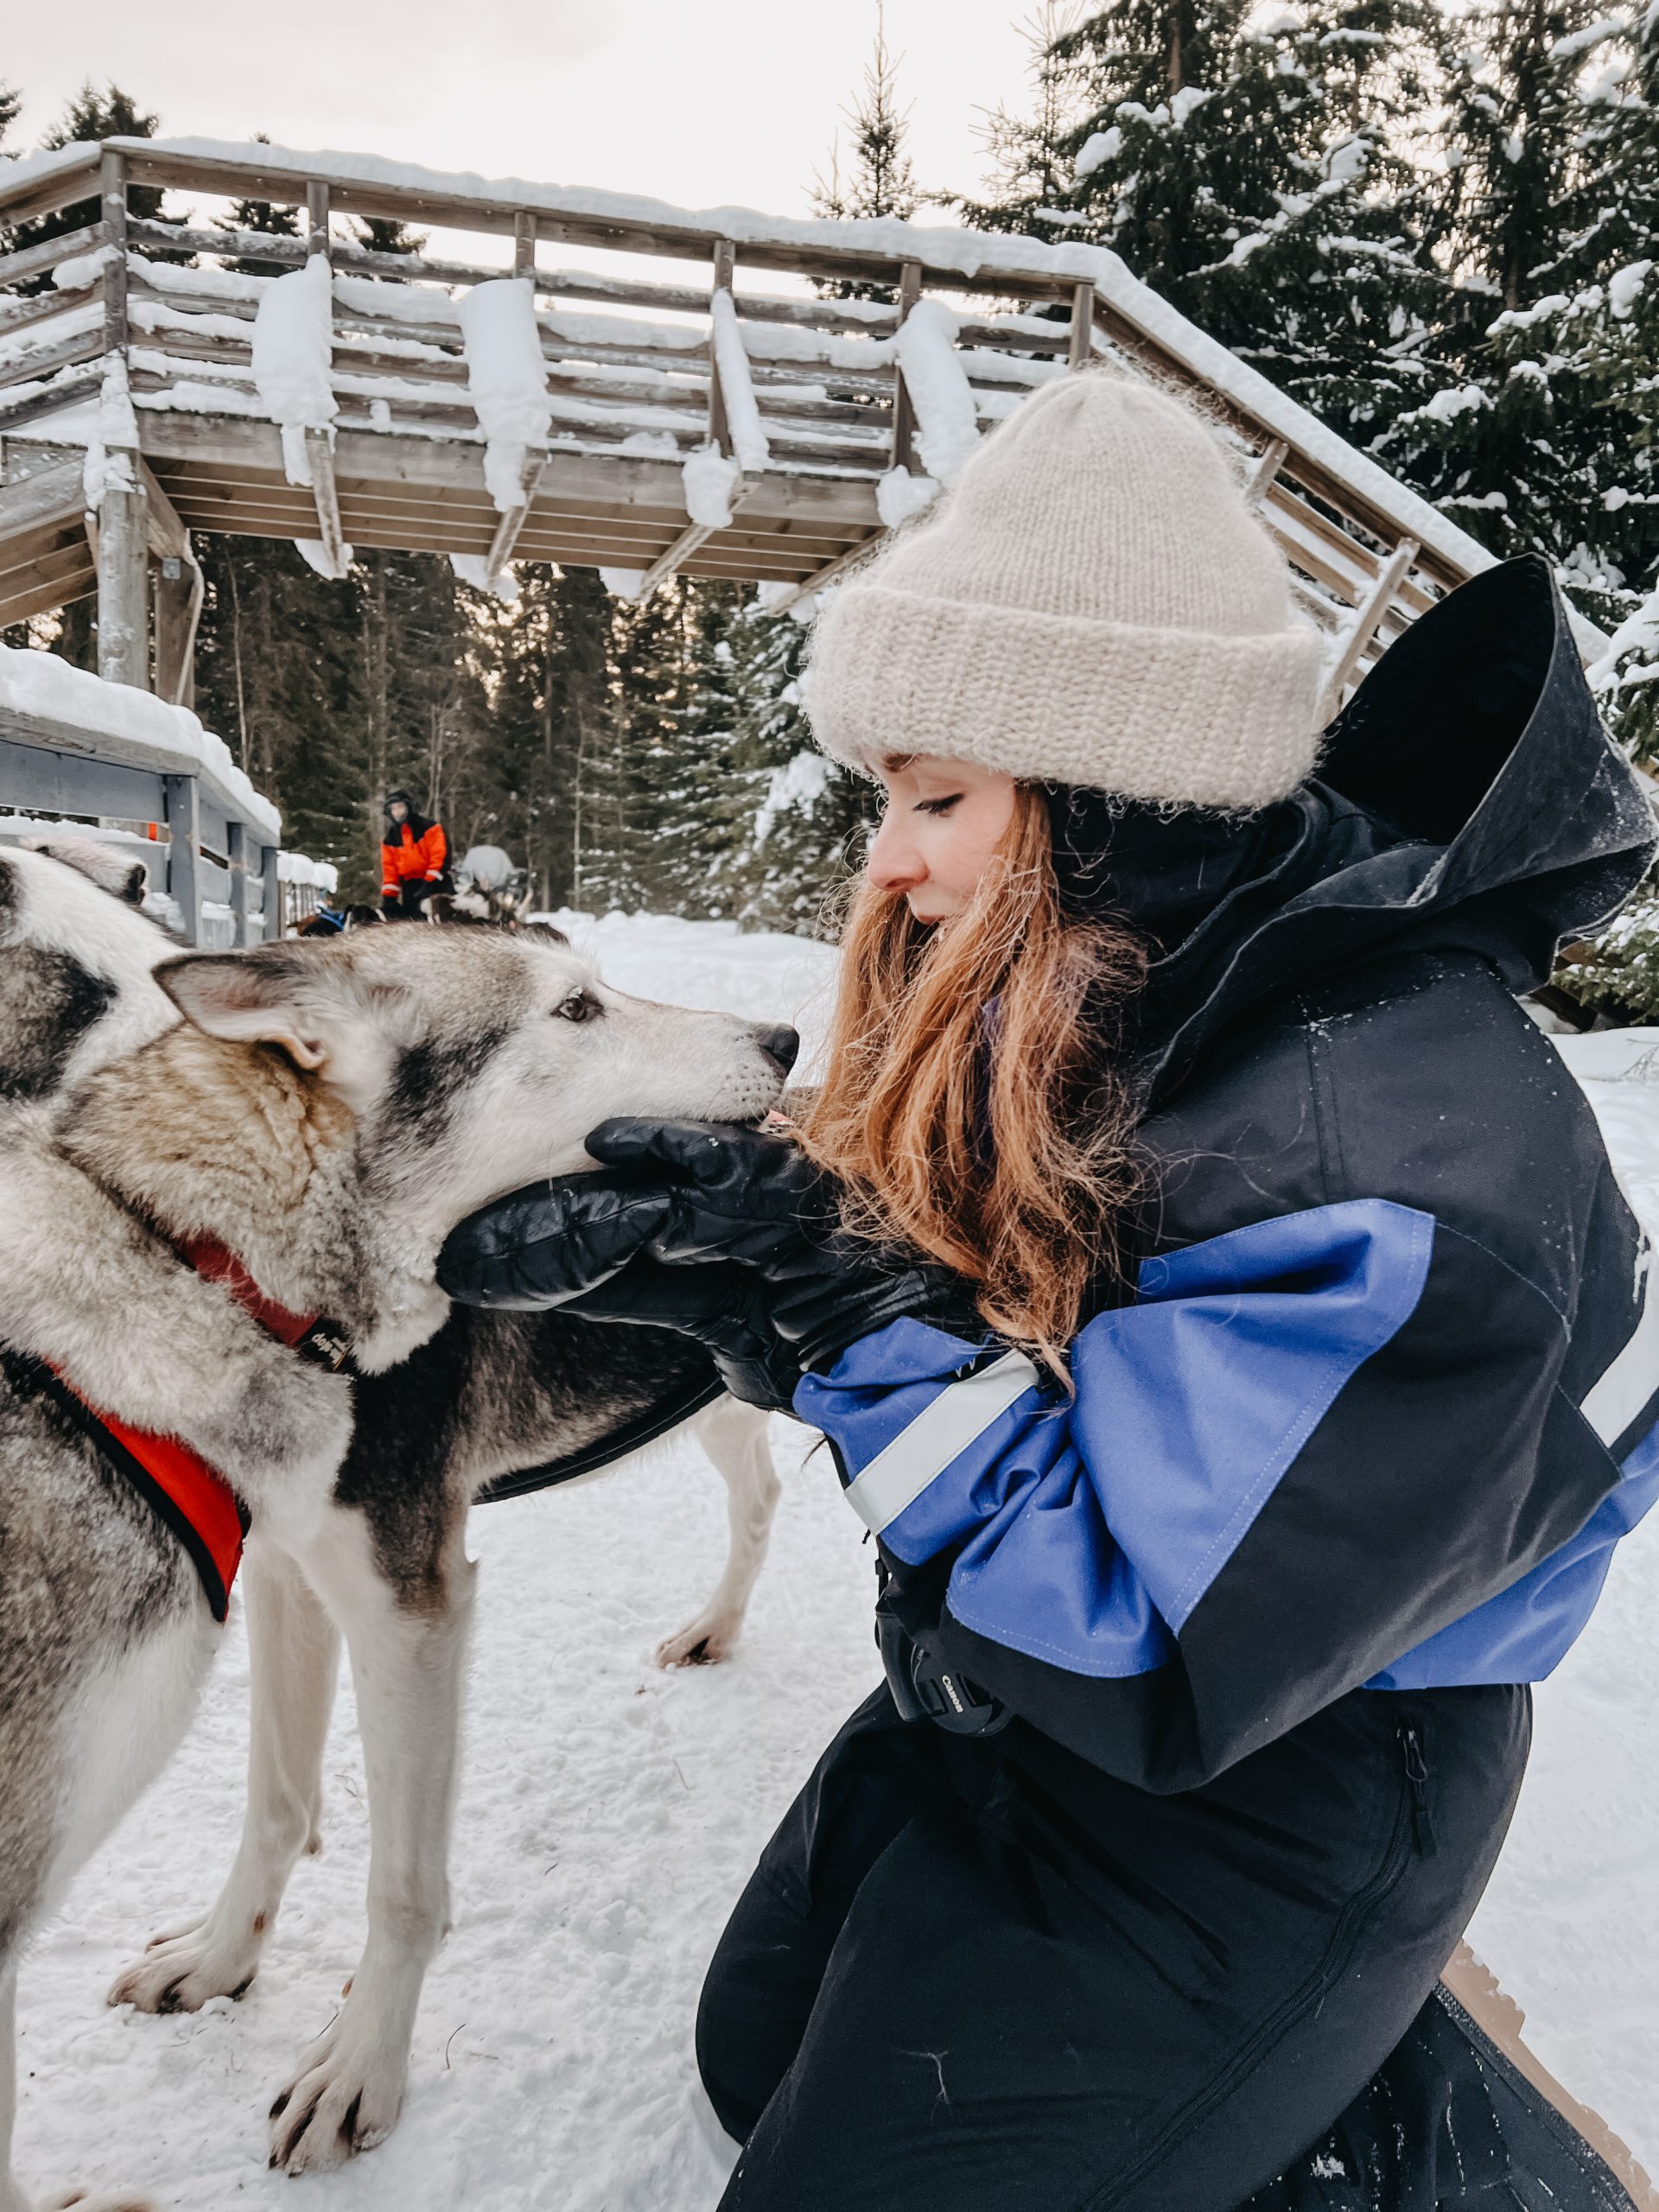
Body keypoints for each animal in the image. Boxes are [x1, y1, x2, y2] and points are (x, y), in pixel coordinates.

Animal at [0, 836, 800, 2202]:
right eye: (576, 1010)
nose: (786, 1037)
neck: (219, 1256)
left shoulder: (409, 1601)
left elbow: (402, 1889)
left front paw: (360, 2066)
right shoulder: (291, 1572)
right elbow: (277, 1800)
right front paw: (221, 1962)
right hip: (719, 1389)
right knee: (758, 1496)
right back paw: (715, 1627)